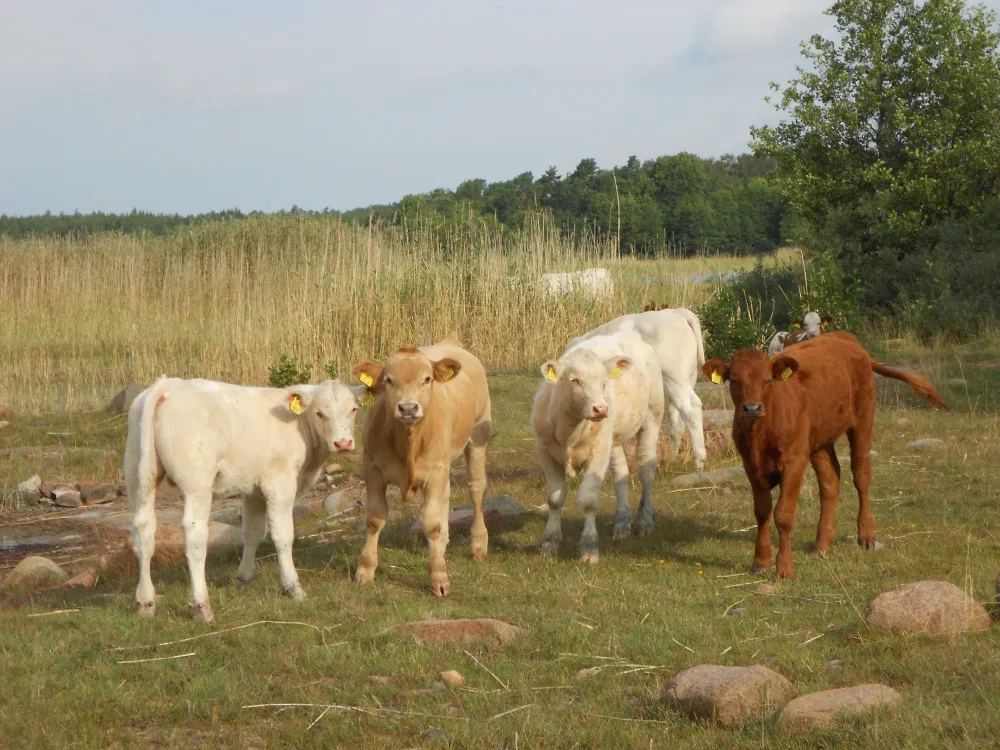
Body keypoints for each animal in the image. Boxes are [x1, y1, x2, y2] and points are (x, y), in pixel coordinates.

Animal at [124, 377, 365, 621]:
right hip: (197, 483)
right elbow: (283, 536)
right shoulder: (280, 484)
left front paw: (244, 578)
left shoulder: (253, 488)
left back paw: (146, 602)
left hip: (138, 477)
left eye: (353, 409)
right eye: (319, 413)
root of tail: (167, 385)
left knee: (143, 531)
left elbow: (252, 532)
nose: (343, 443)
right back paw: (202, 606)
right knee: (195, 536)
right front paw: (293, 588)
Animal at [352, 334, 491, 596]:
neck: (408, 443)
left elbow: (432, 523)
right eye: (388, 380)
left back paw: (478, 545)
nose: (408, 408)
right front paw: (365, 571)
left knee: (476, 488)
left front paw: (439, 577)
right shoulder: (372, 469)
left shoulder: (435, 472)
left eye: (427, 379)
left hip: (478, 436)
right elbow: (375, 519)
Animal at [533, 329, 664, 562]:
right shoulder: (545, 452)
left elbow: (589, 499)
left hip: (652, 417)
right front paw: (549, 544)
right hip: (613, 439)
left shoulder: (598, 453)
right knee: (621, 475)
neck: (569, 431)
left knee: (646, 471)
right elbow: (555, 499)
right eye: (575, 380)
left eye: (604, 382)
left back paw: (645, 521)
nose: (601, 409)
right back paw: (622, 525)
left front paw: (589, 548)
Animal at [567, 307, 707, 470]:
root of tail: (676, 312)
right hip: (686, 379)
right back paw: (673, 459)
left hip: (674, 376)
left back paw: (699, 461)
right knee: (676, 415)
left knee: (690, 407)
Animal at [702, 332, 947, 579]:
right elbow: (762, 512)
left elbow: (783, 514)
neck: (760, 435)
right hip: (820, 441)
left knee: (861, 476)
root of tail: (844, 337)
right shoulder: (750, 464)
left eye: (767, 381)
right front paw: (760, 561)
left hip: (863, 421)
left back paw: (866, 536)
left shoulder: (794, 461)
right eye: (734, 381)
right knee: (830, 480)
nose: (752, 408)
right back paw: (822, 543)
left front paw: (784, 568)